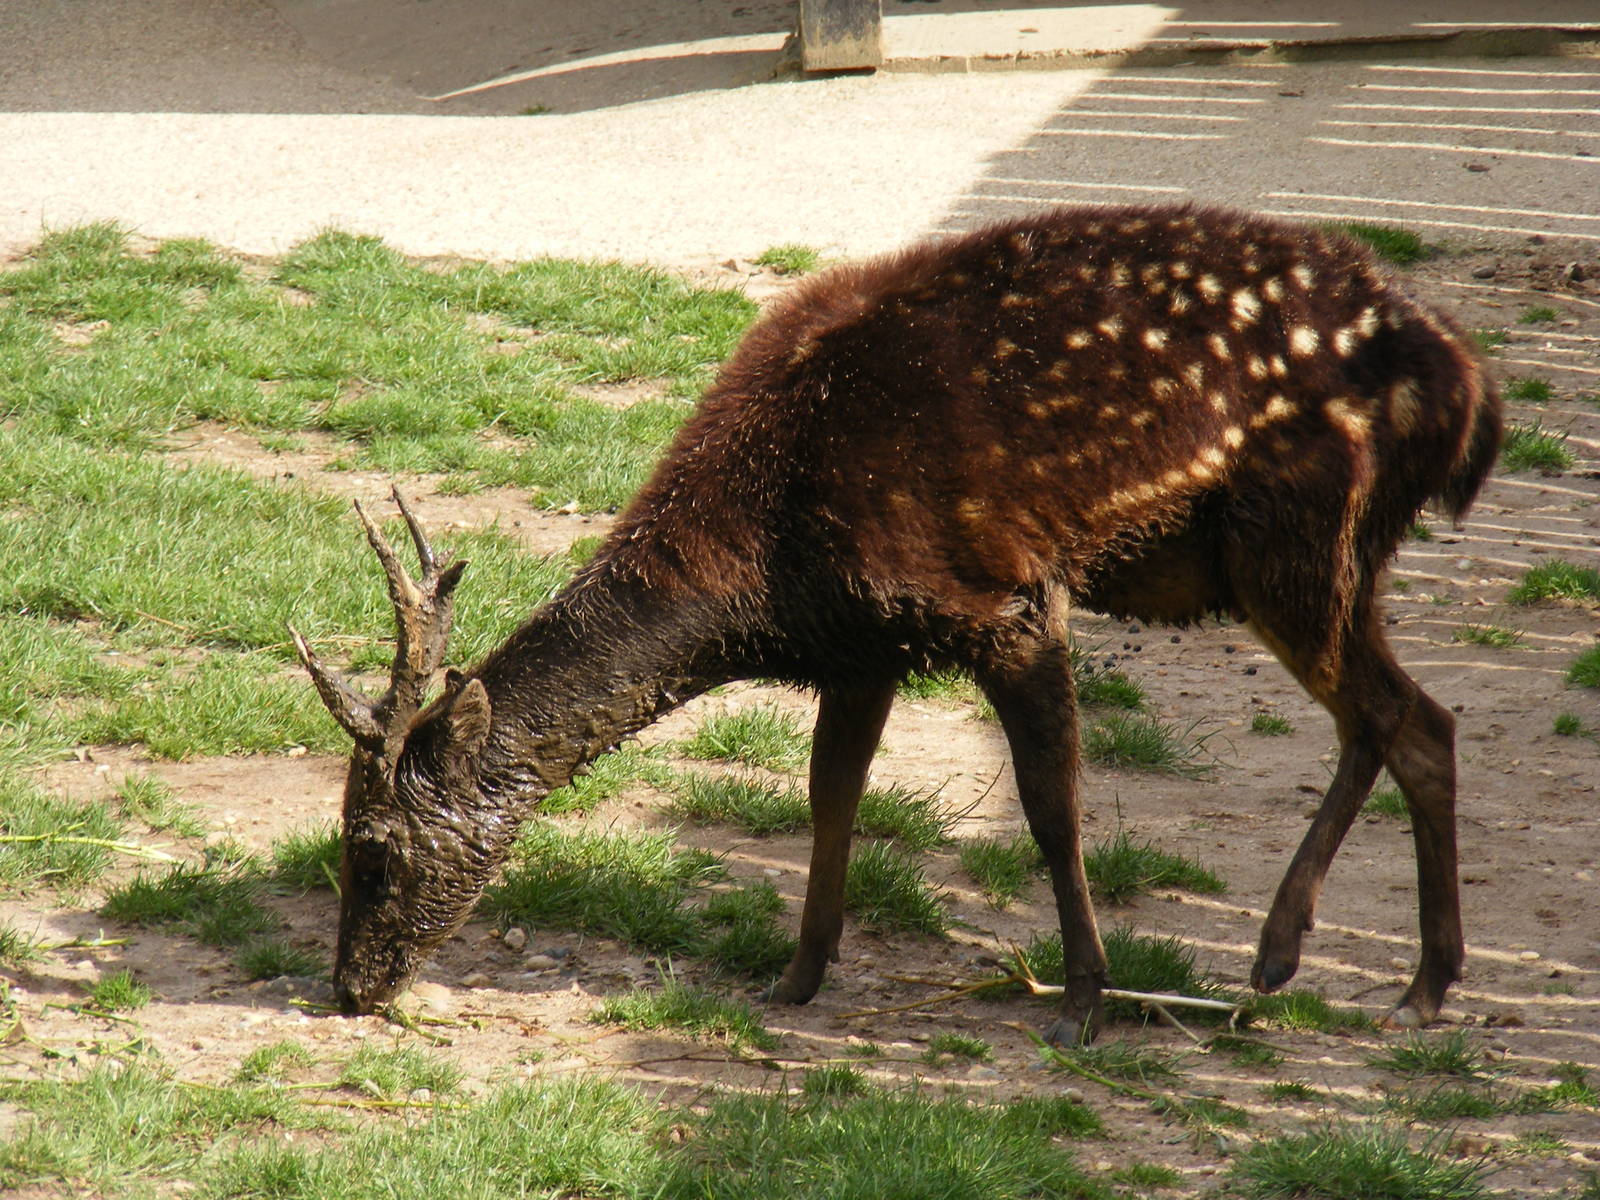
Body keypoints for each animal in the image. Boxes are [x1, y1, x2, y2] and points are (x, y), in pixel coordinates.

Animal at [292, 204, 1501, 1044]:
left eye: (372, 852)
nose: (350, 989)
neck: (762, 572)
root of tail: (1469, 393)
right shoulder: (860, 644)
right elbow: (830, 797)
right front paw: (795, 976)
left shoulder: (1004, 599)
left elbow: (1050, 808)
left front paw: (1082, 1001)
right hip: (1317, 565)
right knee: (1394, 722)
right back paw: (1321, 965)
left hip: (1294, 539)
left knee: (1411, 720)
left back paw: (1388, 980)